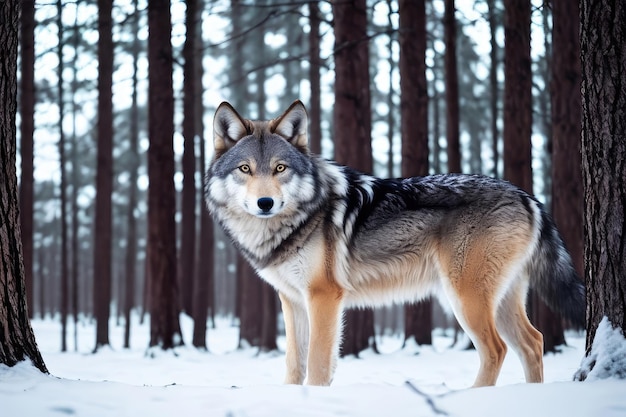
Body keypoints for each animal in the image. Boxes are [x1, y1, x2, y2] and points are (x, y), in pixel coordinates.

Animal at [205, 99, 584, 386]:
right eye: (245, 169)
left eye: (280, 168)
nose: (264, 203)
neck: (296, 220)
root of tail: (526, 195)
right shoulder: (292, 300)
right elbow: (294, 365)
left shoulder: (324, 297)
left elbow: (318, 365)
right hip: (498, 300)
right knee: (533, 343)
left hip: (464, 299)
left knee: (497, 349)